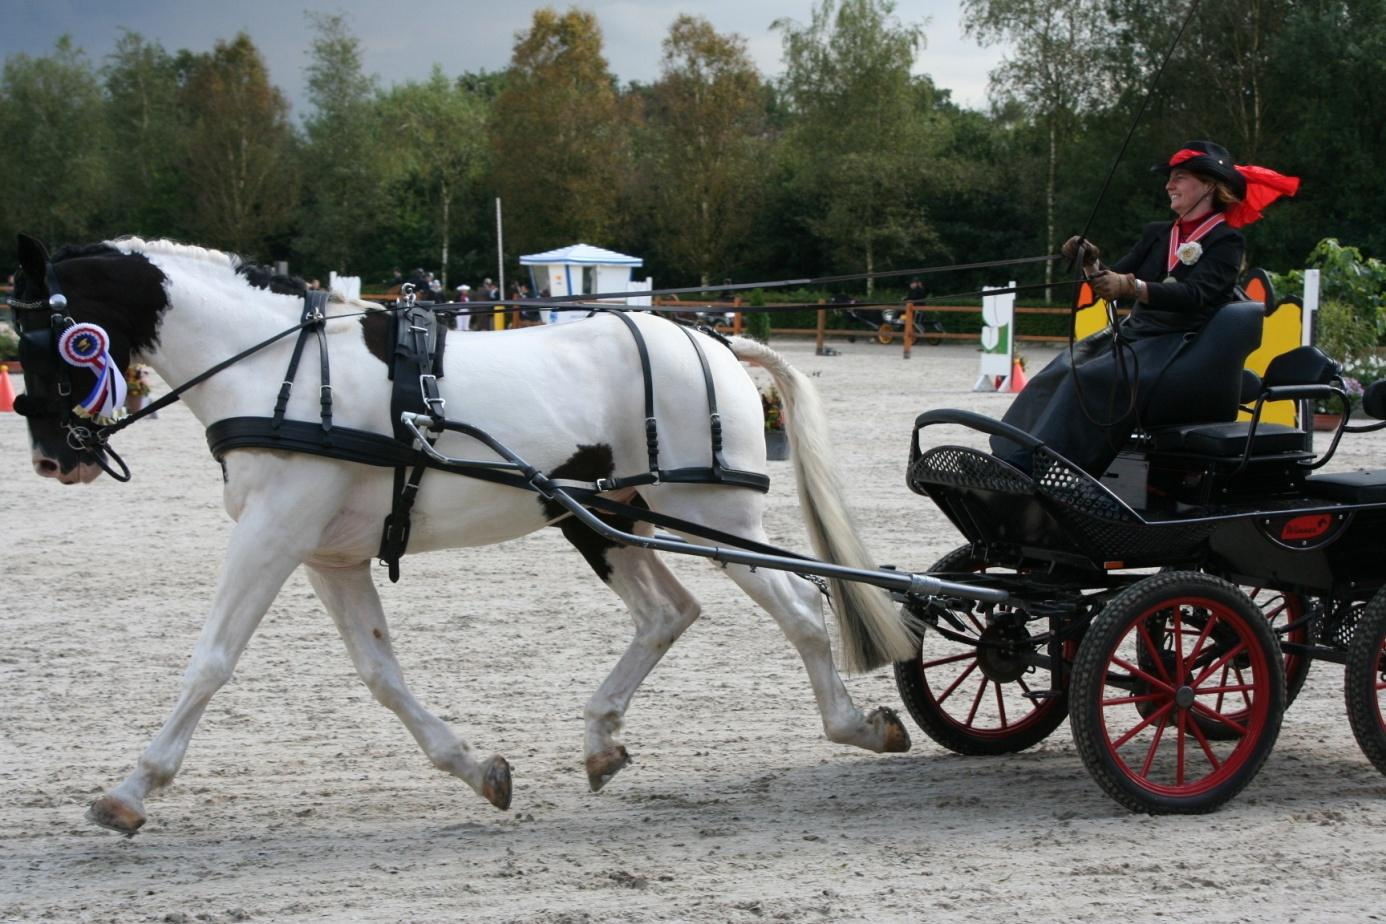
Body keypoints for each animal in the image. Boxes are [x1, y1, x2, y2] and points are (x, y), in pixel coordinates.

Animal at [13, 235, 920, 836]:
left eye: (48, 339)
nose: (53, 458)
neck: (280, 371)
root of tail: (713, 337)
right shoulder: (329, 555)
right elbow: (382, 675)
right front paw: (477, 768)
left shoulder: (273, 536)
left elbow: (210, 660)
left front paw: (131, 789)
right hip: (603, 519)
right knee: (669, 612)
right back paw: (601, 741)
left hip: (708, 515)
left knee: (800, 606)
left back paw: (856, 725)